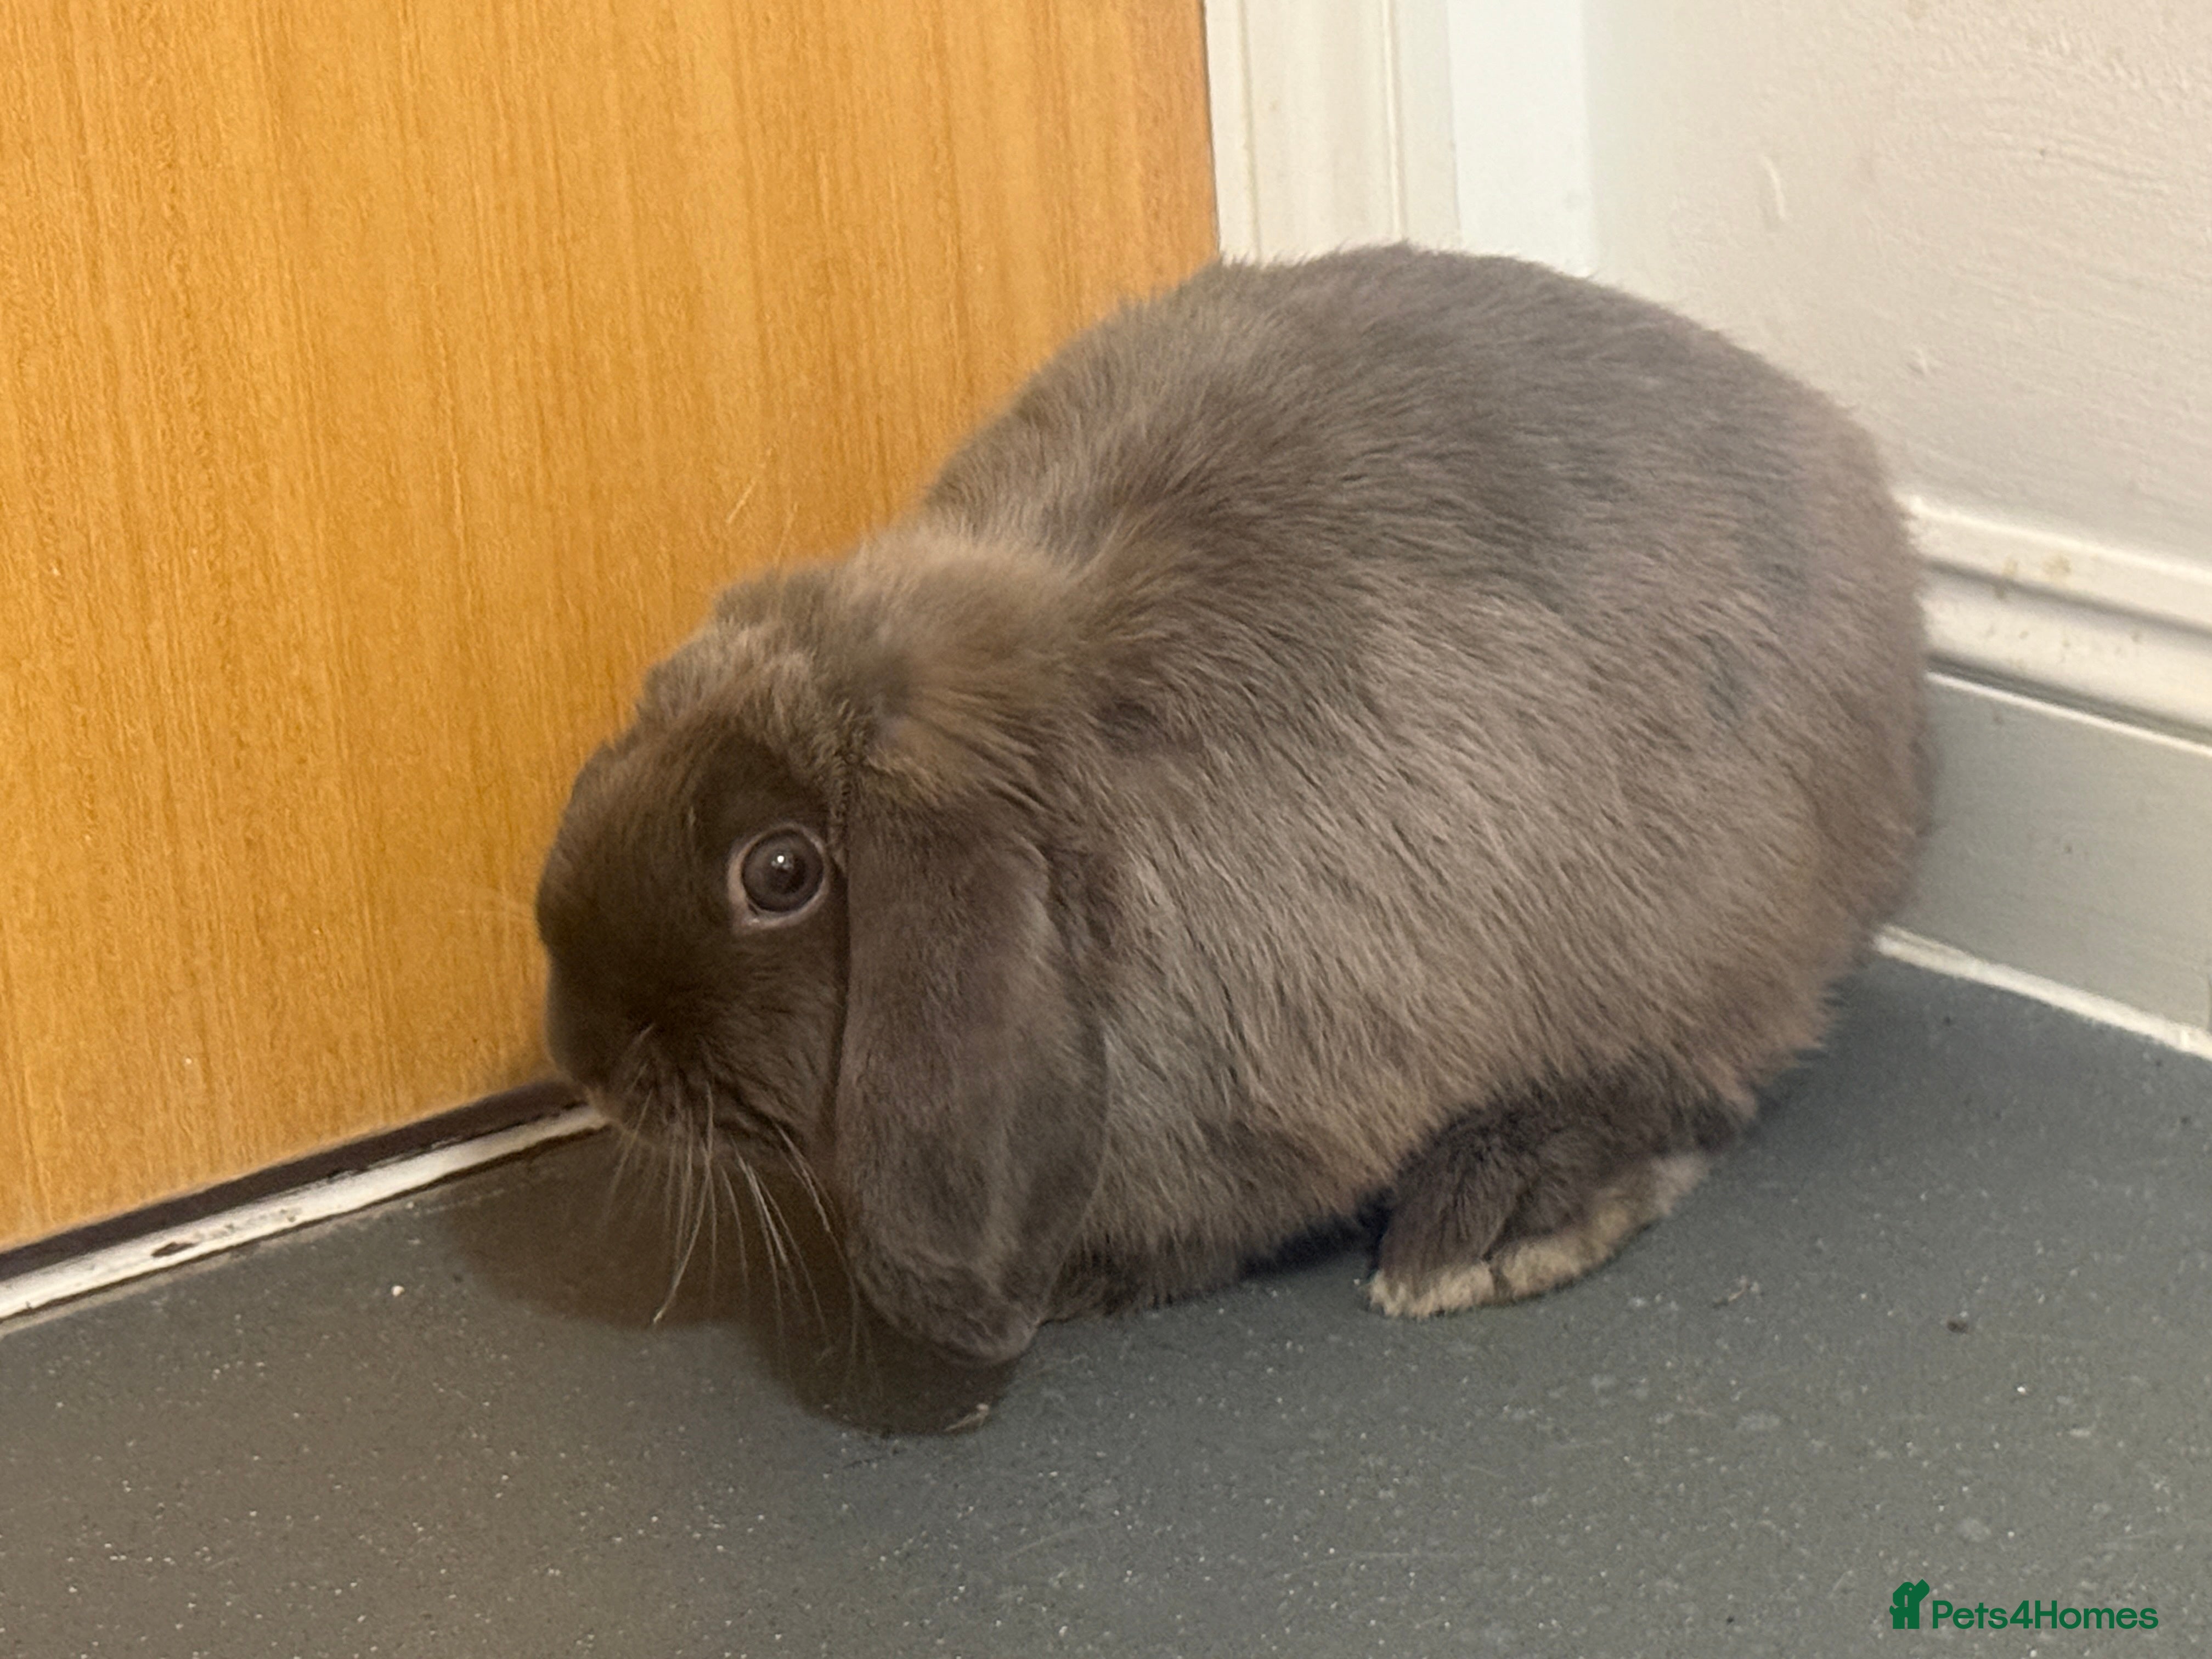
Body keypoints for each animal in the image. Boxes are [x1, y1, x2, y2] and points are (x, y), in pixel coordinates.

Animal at [535, 245, 1928, 1367]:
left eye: (779, 872)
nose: (585, 1053)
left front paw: (1084, 1283)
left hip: (1698, 922)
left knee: (1700, 1078)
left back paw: (1489, 1220)